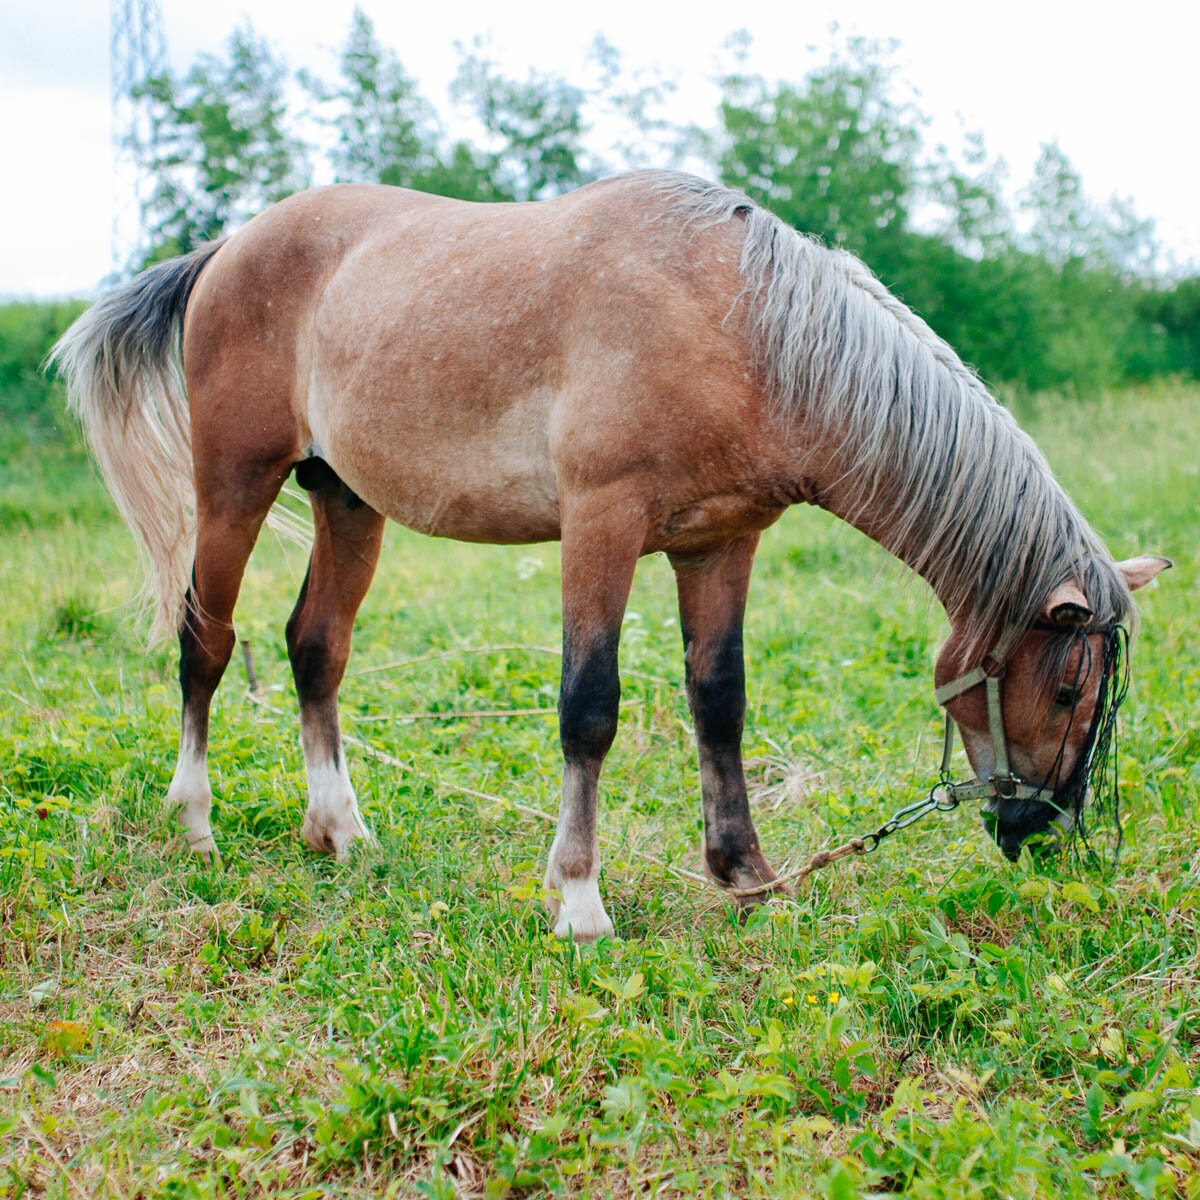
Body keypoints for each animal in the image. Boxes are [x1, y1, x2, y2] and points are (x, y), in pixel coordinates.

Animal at [51, 171, 1166, 936]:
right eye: (1069, 690)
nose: (1046, 833)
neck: (740, 328)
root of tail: (227, 248)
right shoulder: (601, 526)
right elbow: (589, 708)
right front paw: (579, 902)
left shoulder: (719, 545)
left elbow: (719, 702)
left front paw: (745, 875)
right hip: (233, 487)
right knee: (206, 641)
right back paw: (195, 822)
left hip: (348, 503)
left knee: (314, 646)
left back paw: (342, 832)